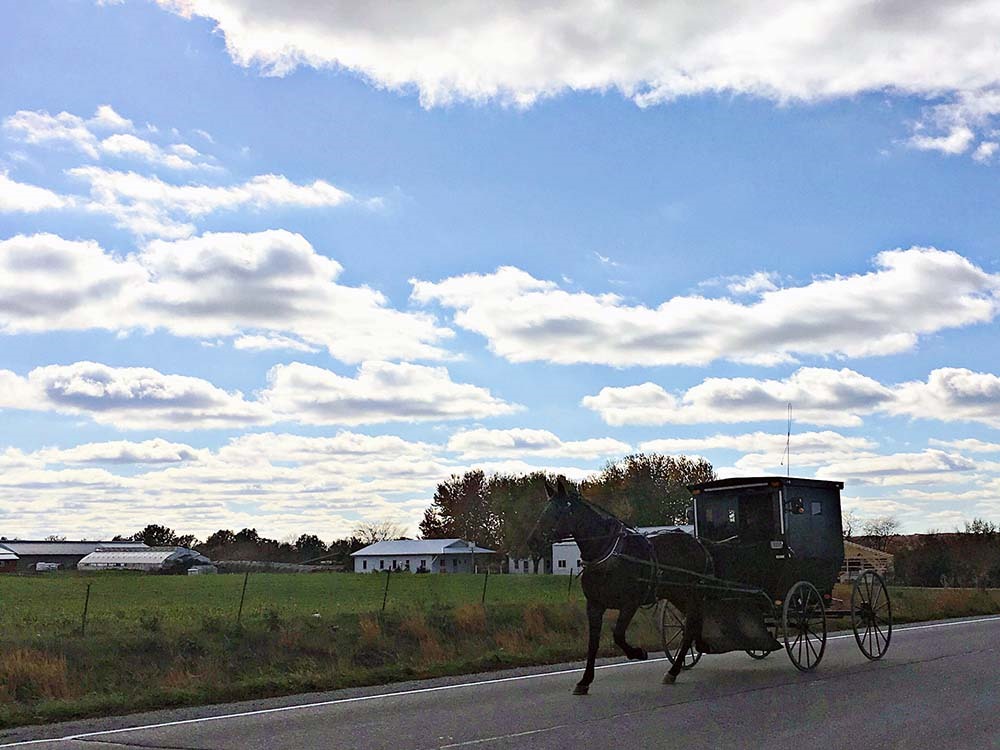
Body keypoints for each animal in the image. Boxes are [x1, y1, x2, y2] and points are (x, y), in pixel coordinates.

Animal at [524, 478, 712, 696]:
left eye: (558, 511)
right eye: (544, 510)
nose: (533, 541)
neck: (609, 555)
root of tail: (698, 544)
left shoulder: (630, 603)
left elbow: (618, 635)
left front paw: (638, 652)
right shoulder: (594, 605)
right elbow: (593, 643)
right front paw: (584, 681)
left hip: (691, 593)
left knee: (690, 625)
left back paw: (673, 670)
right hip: (678, 594)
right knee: (693, 623)